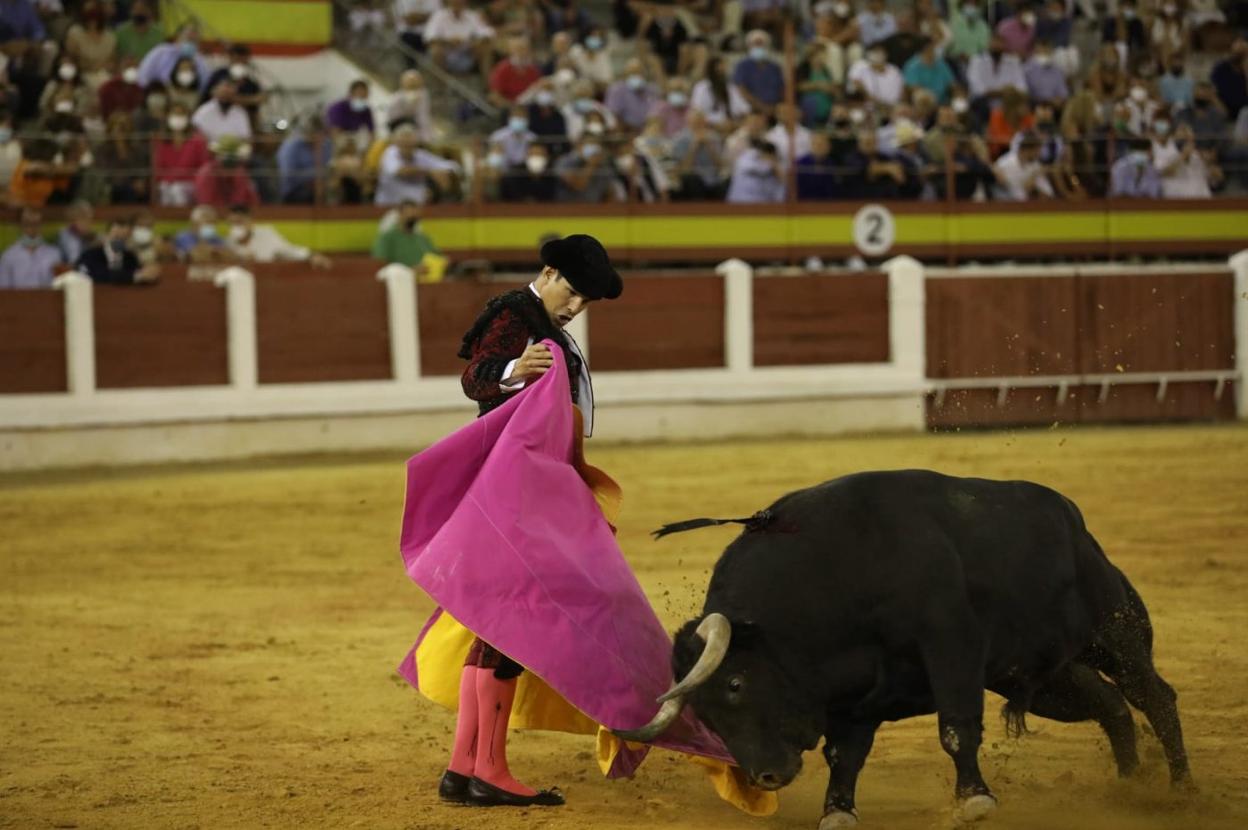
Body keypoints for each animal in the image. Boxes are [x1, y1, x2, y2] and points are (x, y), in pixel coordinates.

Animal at [619, 469, 1193, 823]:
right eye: (705, 716)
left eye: (736, 683)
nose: (767, 777)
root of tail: (1072, 518)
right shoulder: (852, 696)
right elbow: (844, 753)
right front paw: (838, 810)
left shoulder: (951, 646)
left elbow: (956, 730)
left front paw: (974, 800)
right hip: (1043, 674)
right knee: (1109, 704)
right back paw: (1127, 788)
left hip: (1112, 628)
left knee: (1153, 695)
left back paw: (1182, 790)